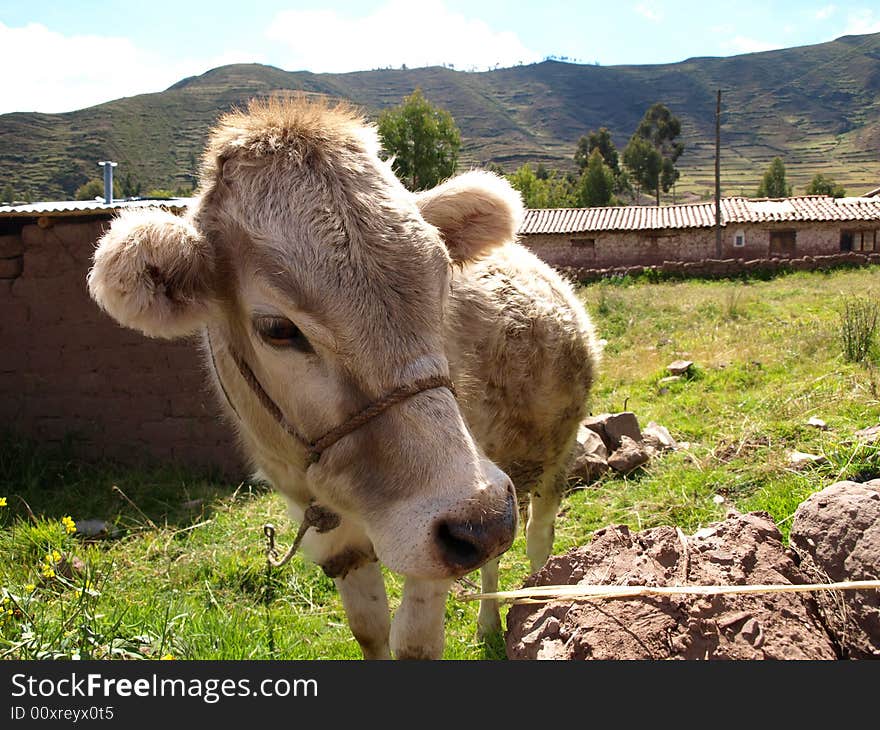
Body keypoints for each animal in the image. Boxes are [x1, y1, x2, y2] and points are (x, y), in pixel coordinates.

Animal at [87, 94, 600, 656]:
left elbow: (415, 640)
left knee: (537, 541)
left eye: (441, 282)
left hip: (553, 457)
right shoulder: (333, 538)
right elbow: (368, 628)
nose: (482, 519)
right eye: (276, 328)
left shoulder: (442, 533)